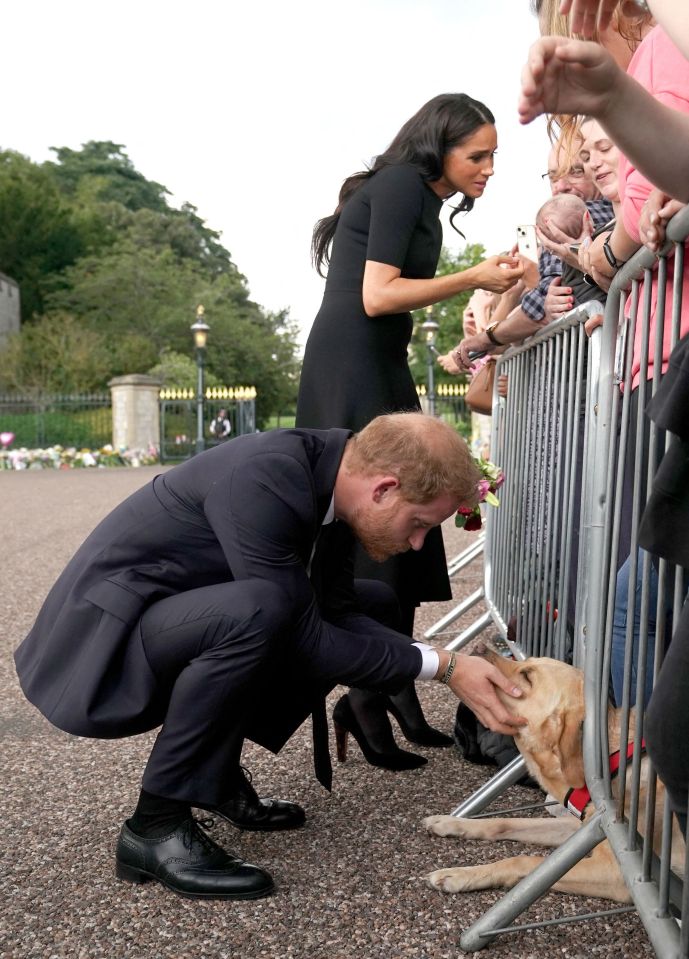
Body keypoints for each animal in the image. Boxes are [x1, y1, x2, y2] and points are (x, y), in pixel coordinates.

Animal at [424, 648, 684, 904]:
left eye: (527, 676)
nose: (478, 648)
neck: (613, 761)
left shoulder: (617, 872)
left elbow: (523, 861)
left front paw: (460, 875)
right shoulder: (583, 829)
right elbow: (504, 822)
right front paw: (450, 823)